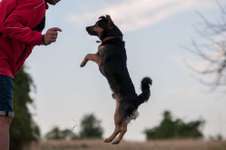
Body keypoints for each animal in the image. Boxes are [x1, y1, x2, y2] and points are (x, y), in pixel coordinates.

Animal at [80, 15, 153, 144]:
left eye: (97, 25)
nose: (86, 27)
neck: (112, 37)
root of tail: (136, 99)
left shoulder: (100, 59)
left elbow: (88, 54)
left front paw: (82, 63)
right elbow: (89, 54)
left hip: (118, 114)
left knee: (121, 128)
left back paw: (112, 140)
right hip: (122, 115)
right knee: (122, 128)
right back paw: (113, 140)